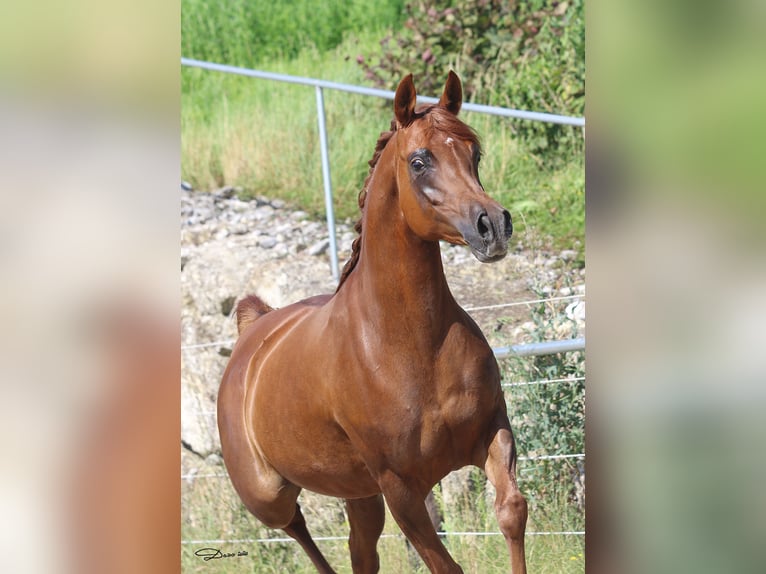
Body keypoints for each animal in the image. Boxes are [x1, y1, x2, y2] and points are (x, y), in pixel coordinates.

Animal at [217, 71, 527, 573]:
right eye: (419, 161)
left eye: (474, 153)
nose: (493, 226)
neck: (411, 344)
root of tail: (254, 329)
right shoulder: (400, 488)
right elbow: (445, 564)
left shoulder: (492, 433)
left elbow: (511, 512)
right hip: (269, 496)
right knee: (298, 527)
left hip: (358, 493)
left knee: (359, 552)